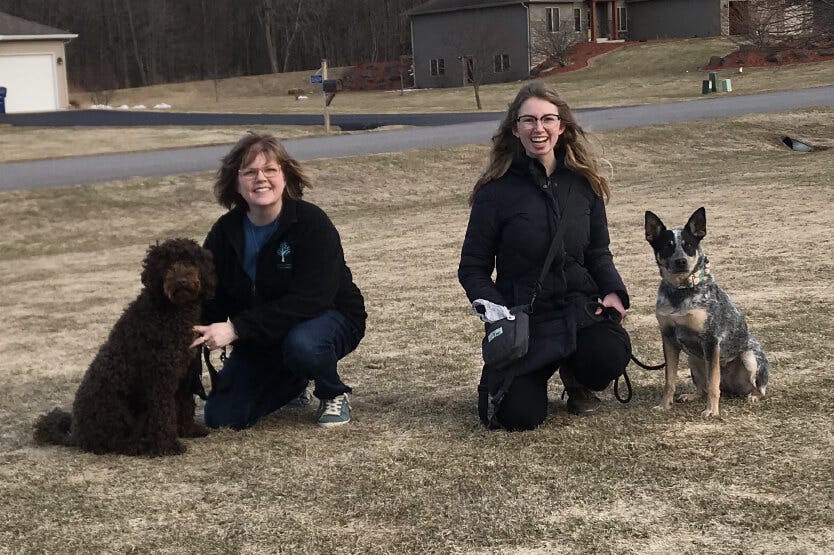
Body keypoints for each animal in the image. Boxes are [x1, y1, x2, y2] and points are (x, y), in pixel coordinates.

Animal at [33, 237, 214, 458]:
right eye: (166, 263)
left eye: (190, 260)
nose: (180, 280)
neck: (171, 310)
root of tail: (76, 435)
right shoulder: (160, 377)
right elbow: (164, 413)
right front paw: (168, 446)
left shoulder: (183, 374)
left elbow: (185, 403)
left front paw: (188, 430)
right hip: (116, 408)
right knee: (111, 442)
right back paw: (136, 446)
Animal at [644, 208, 768, 416]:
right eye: (668, 246)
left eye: (689, 245)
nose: (681, 261)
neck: (681, 290)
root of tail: (730, 388)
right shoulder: (668, 338)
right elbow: (670, 380)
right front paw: (664, 405)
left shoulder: (710, 340)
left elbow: (712, 383)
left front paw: (711, 411)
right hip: (693, 359)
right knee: (703, 388)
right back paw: (690, 396)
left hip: (749, 358)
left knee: (756, 388)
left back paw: (753, 396)